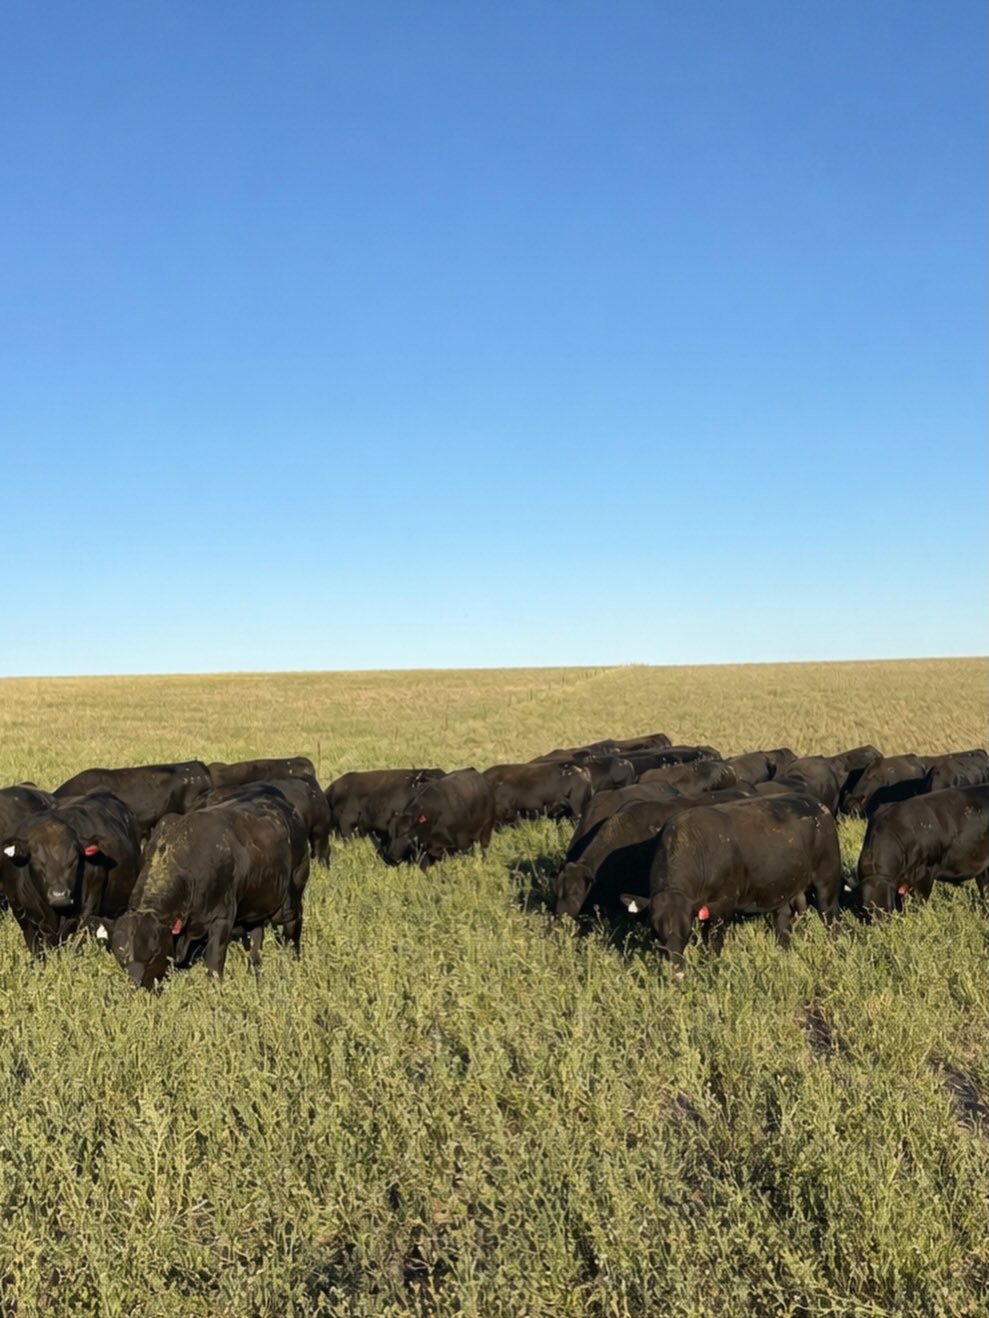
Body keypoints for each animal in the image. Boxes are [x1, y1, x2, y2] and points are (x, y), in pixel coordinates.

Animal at [105, 784, 311, 988]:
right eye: (122, 960)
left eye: (154, 954)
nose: (138, 984)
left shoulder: (221, 919)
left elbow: (214, 962)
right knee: (255, 945)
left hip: (292, 897)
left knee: (292, 932)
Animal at [620, 794, 841, 966]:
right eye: (655, 930)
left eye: (687, 929)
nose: (675, 967)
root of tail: (816, 804)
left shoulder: (721, 906)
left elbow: (714, 941)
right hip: (782, 888)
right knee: (783, 920)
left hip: (826, 880)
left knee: (831, 917)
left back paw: (834, 949)